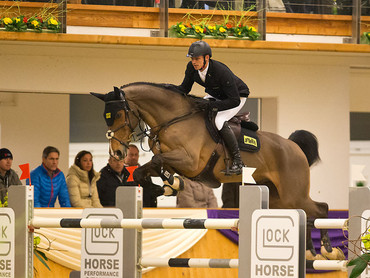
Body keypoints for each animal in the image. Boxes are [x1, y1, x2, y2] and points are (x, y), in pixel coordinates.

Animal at [91, 82, 346, 260]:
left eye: (119, 115)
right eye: (105, 117)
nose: (117, 154)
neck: (173, 120)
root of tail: (294, 146)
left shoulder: (190, 161)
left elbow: (157, 159)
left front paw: (168, 184)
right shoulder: (175, 162)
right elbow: (145, 169)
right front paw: (167, 185)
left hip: (292, 193)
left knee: (320, 209)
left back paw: (326, 249)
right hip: (278, 198)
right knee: (304, 214)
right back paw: (313, 250)